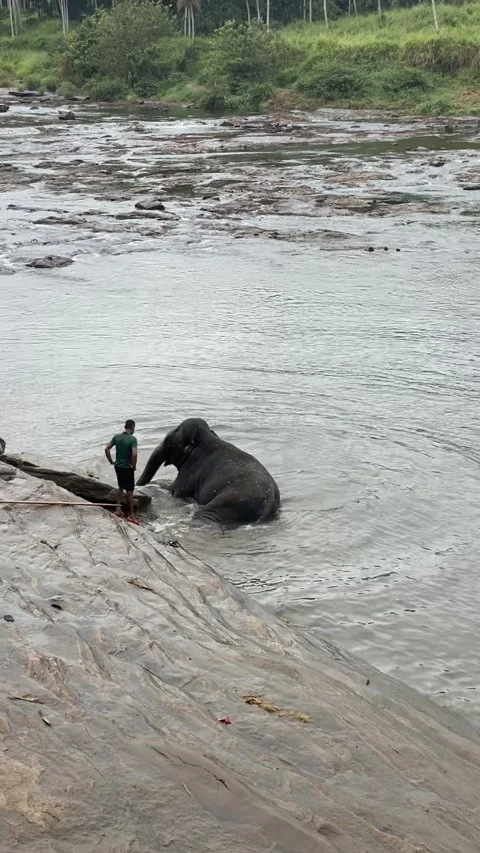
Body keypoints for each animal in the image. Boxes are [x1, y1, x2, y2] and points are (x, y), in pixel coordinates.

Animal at [137, 417, 280, 528]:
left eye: (170, 442)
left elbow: (174, 490)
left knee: (205, 514)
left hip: (230, 500)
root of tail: (269, 506)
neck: (206, 437)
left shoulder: (191, 470)